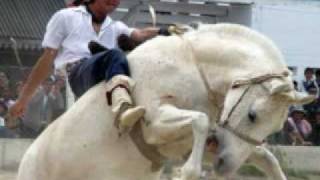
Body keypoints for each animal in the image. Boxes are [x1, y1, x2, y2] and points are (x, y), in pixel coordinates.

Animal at [16, 23, 312, 179]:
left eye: (275, 128)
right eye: (252, 115)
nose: (224, 167)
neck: (194, 66)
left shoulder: (212, 142)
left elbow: (266, 158)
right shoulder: (155, 122)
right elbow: (200, 121)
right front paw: (188, 172)